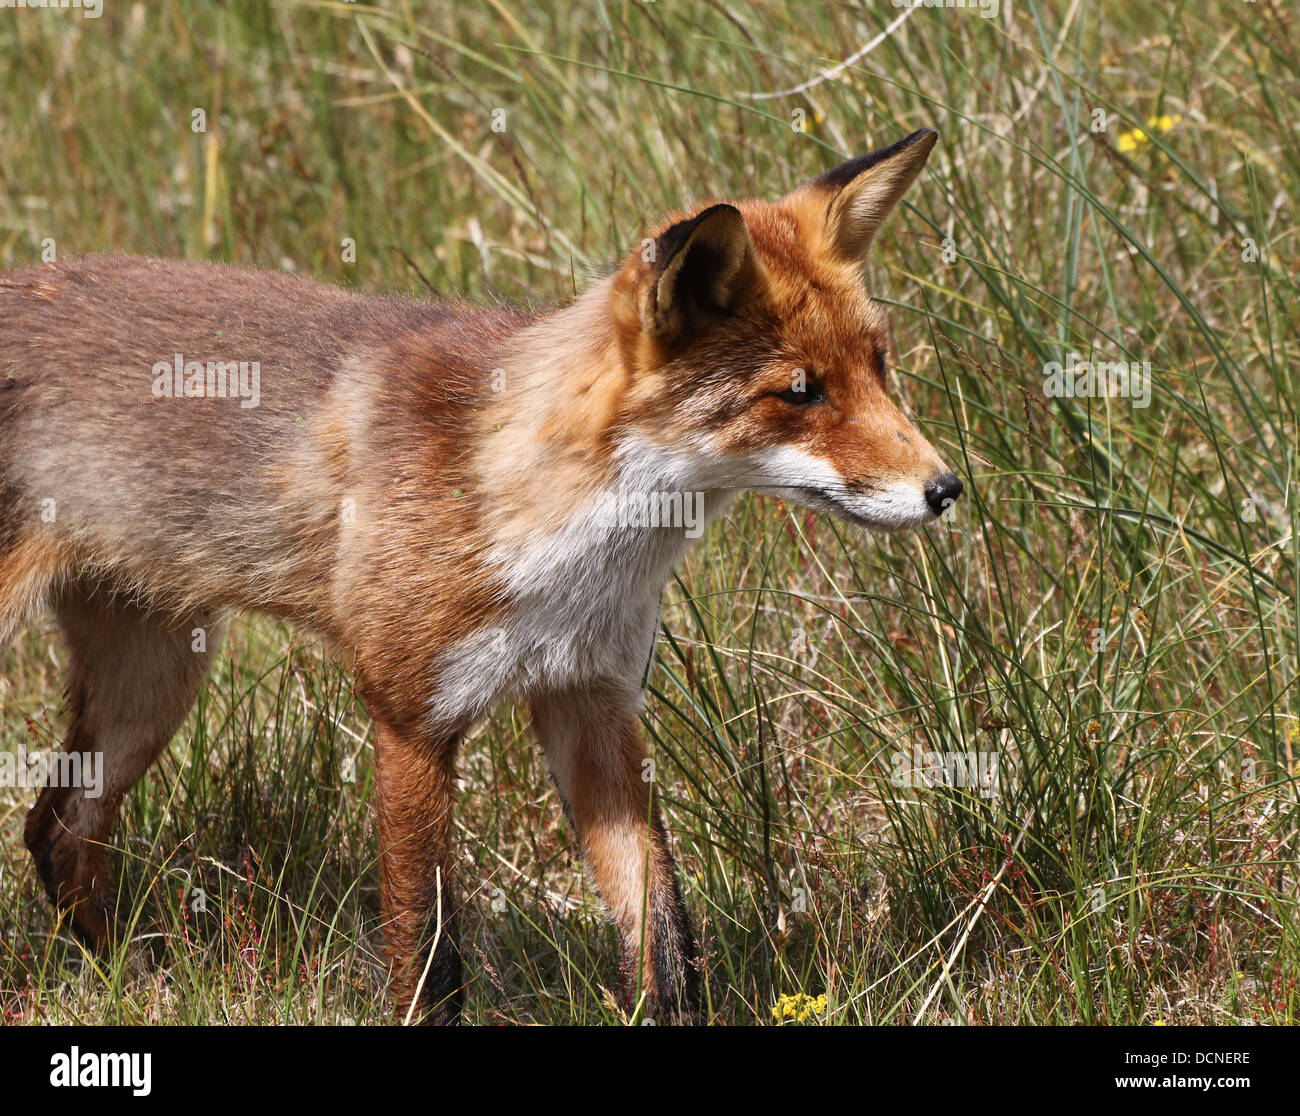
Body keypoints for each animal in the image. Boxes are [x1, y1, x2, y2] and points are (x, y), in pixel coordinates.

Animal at [0, 126, 956, 1019]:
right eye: (799, 391)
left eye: (879, 365)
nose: (945, 489)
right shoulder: (410, 719)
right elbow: (430, 954)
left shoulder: (592, 702)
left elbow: (663, 934)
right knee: (55, 829)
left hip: (155, 678)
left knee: (57, 828)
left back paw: (129, 980)